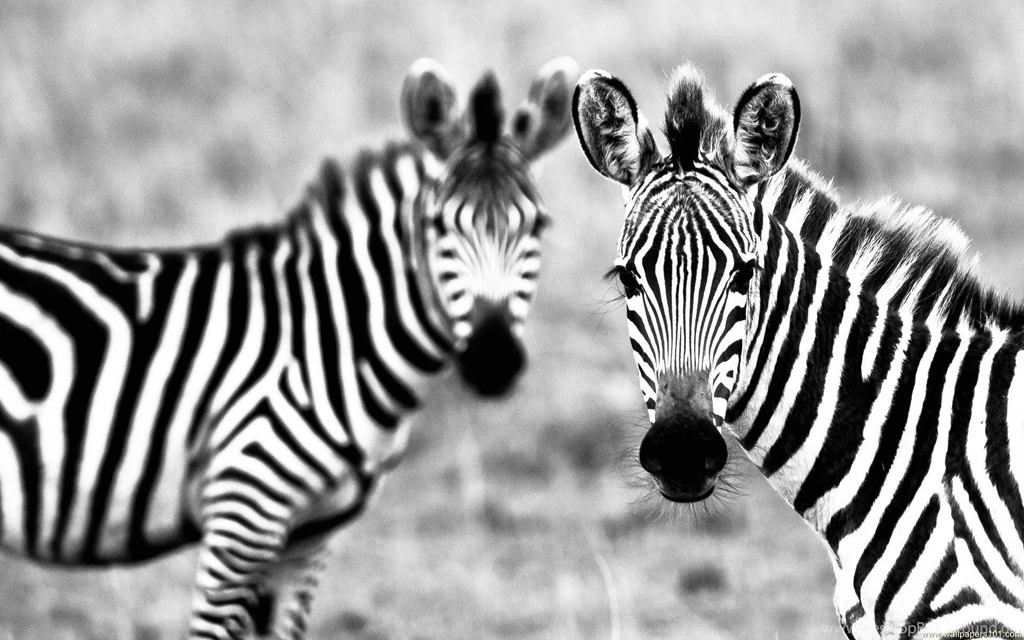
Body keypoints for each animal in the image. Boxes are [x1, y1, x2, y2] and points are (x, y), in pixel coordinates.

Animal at [0, 56, 578, 639]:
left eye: (539, 225)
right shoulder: (243, 516)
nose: (493, 361)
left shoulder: (308, 539)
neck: (334, 339)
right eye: (436, 226)